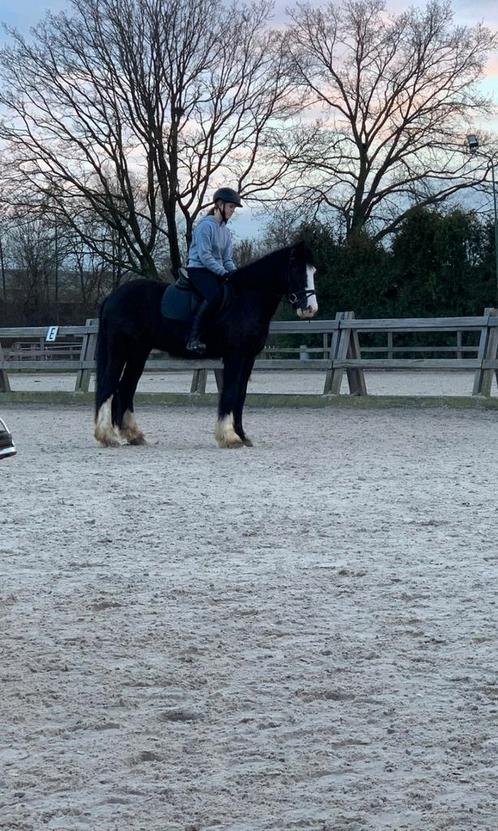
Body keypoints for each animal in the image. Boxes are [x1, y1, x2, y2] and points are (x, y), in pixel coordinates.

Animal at [95, 240, 318, 448]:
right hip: (119, 352)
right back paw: (107, 436)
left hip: (138, 354)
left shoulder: (248, 358)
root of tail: (112, 297)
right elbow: (230, 393)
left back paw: (134, 435)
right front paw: (229, 437)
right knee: (108, 386)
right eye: (296, 269)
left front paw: (242, 435)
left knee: (126, 388)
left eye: (313, 271)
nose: (310, 308)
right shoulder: (235, 356)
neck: (246, 299)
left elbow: (241, 395)